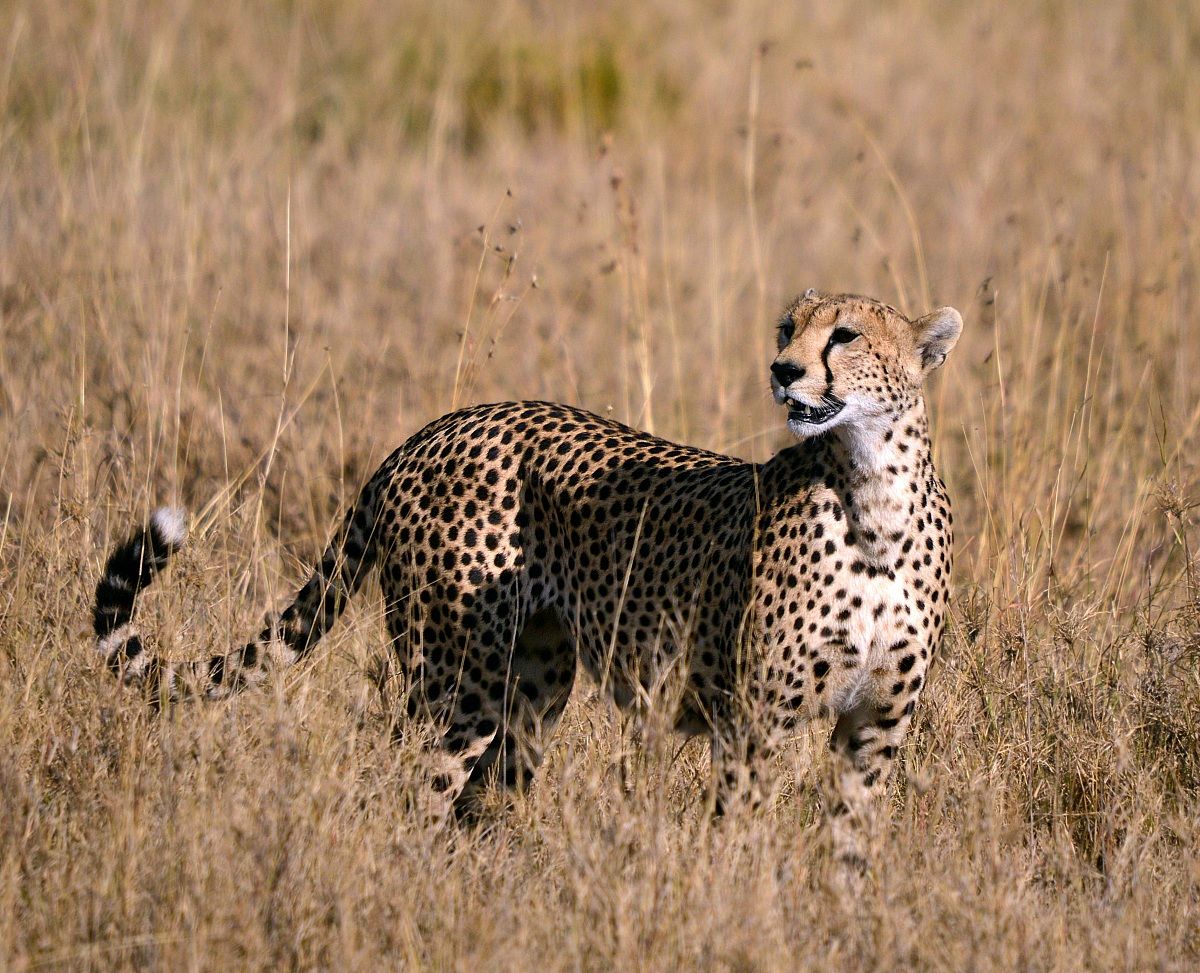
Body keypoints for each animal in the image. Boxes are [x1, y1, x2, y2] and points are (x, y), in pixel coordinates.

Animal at [92, 289, 962, 863]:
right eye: (787, 328)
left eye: (844, 335)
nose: (781, 369)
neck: (873, 492)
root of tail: (433, 429)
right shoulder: (754, 720)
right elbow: (738, 831)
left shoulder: (874, 727)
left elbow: (851, 845)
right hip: (455, 676)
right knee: (411, 784)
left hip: (535, 678)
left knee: (487, 788)